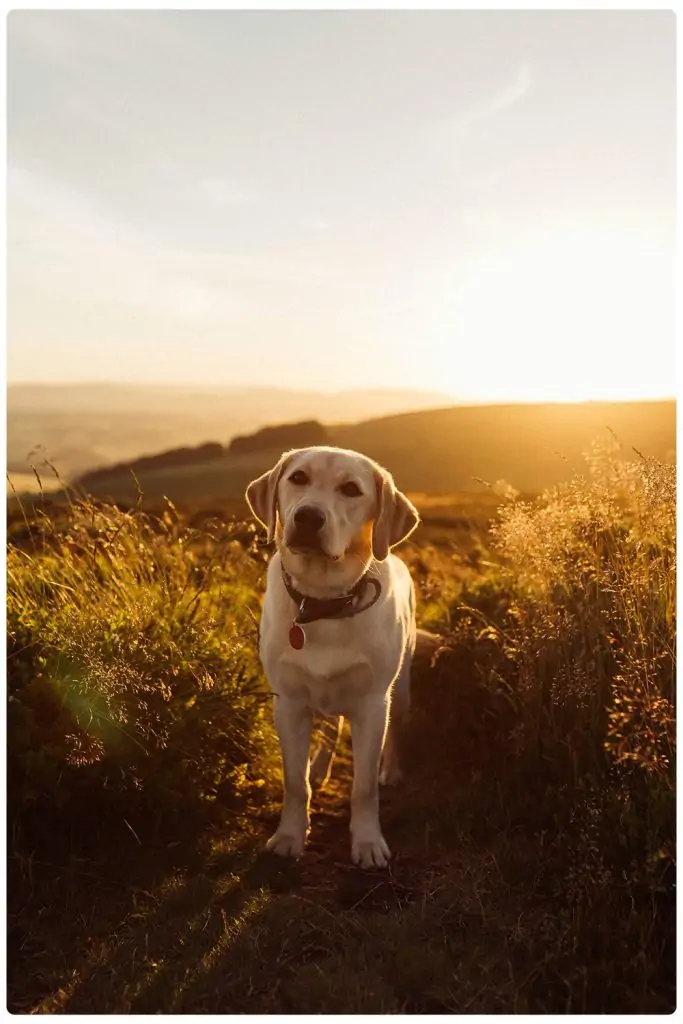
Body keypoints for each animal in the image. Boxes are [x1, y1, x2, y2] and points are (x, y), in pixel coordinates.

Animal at [242, 444, 419, 868]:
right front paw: (289, 837)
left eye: (351, 489)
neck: (322, 602)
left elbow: (364, 787)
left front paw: (368, 842)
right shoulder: (288, 703)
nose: (308, 516)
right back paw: (320, 767)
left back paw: (392, 770)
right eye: (298, 478)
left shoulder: (372, 705)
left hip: (401, 688)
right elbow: (295, 782)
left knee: (395, 732)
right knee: (330, 729)